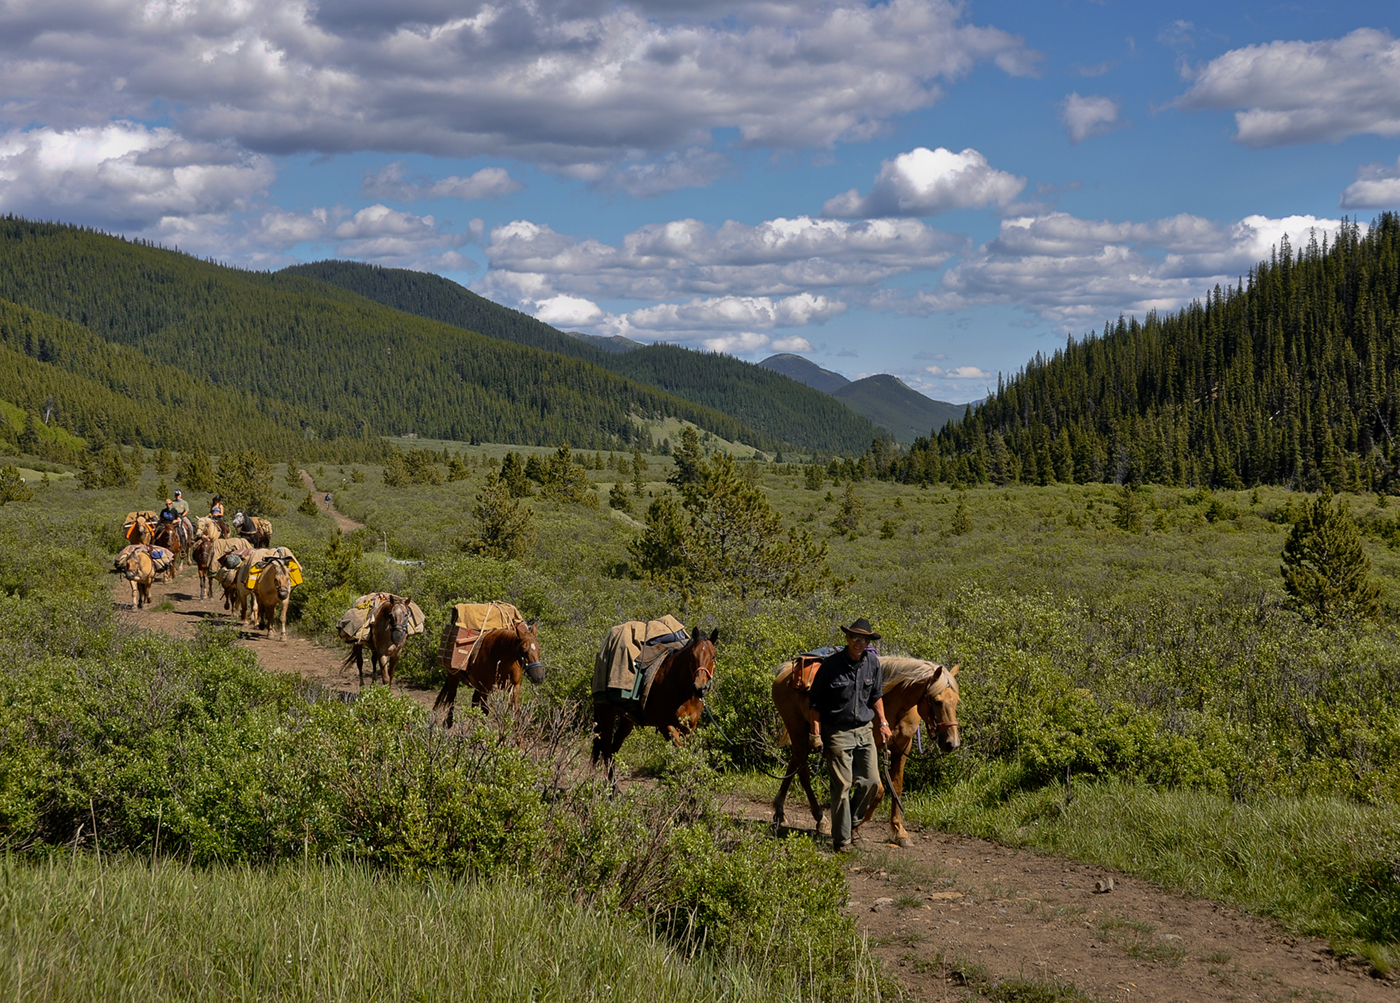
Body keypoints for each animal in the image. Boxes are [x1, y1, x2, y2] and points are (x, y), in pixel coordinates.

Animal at [590, 627, 722, 784]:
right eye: (692, 655)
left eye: (713, 657)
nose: (699, 688)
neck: (681, 690)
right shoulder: (665, 725)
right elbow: (679, 754)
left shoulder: (690, 727)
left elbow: (685, 755)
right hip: (606, 715)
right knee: (607, 749)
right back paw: (611, 788)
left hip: (627, 720)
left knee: (614, 747)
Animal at [767, 658, 963, 846]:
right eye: (937, 701)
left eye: (956, 701)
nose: (952, 743)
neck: (895, 703)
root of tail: (786, 670)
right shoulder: (870, 746)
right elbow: (879, 789)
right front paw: (856, 825)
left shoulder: (902, 748)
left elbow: (896, 787)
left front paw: (899, 831)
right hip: (797, 731)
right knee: (804, 775)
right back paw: (820, 819)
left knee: (794, 765)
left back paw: (780, 811)